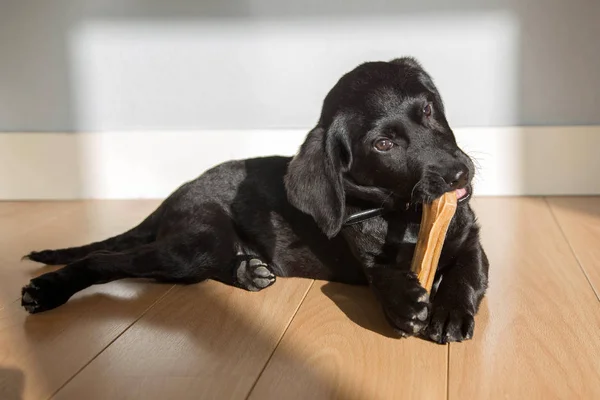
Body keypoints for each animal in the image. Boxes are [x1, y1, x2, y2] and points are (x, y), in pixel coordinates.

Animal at [19, 56, 488, 344]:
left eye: (428, 110)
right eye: (384, 144)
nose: (458, 173)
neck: (403, 212)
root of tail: (176, 194)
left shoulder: (470, 240)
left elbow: (467, 273)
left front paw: (449, 312)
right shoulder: (368, 258)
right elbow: (383, 275)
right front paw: (406, 300)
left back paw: (248, 271)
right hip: (195, 243)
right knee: (109, 261)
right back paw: (47, 290)